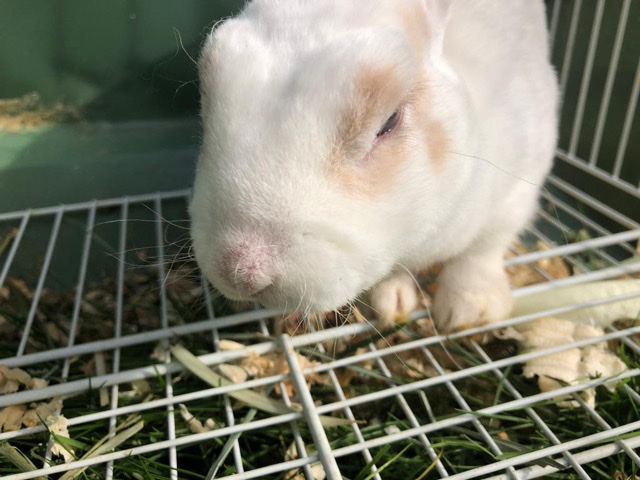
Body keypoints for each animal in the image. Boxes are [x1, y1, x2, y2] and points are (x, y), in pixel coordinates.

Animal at [190, 0, 559, 333]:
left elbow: (484, 249)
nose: (242, 273)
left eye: (390, 121)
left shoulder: (518, 186)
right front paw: (390, 301)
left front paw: (470, 311)